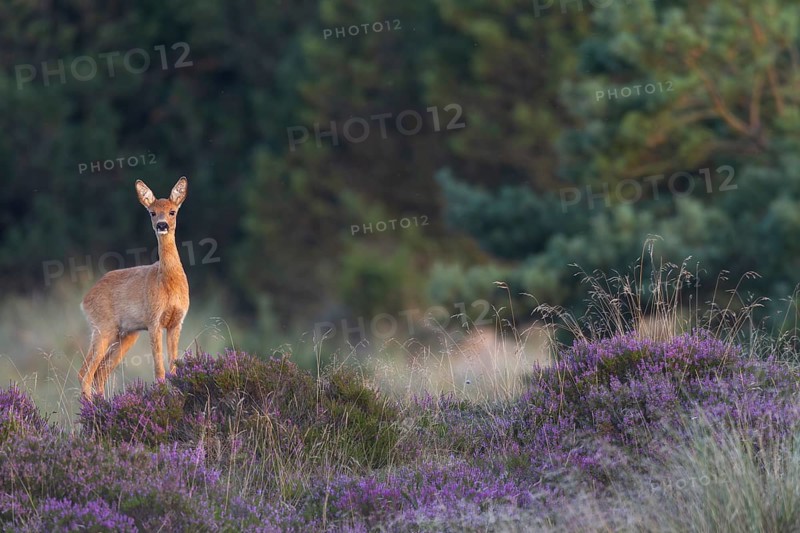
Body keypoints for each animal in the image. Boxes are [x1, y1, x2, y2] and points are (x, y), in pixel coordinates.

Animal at [79, 177, 190, 399]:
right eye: (152, 212)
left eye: (172, 211)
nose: (162, 225)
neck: (169, 284)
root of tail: (84, 300)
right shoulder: (154, 321)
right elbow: (159, 369)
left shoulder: (177, 322)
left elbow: (174, 367)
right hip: (102, 328)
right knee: (86, 373)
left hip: (126, 334)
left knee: (99, 372)